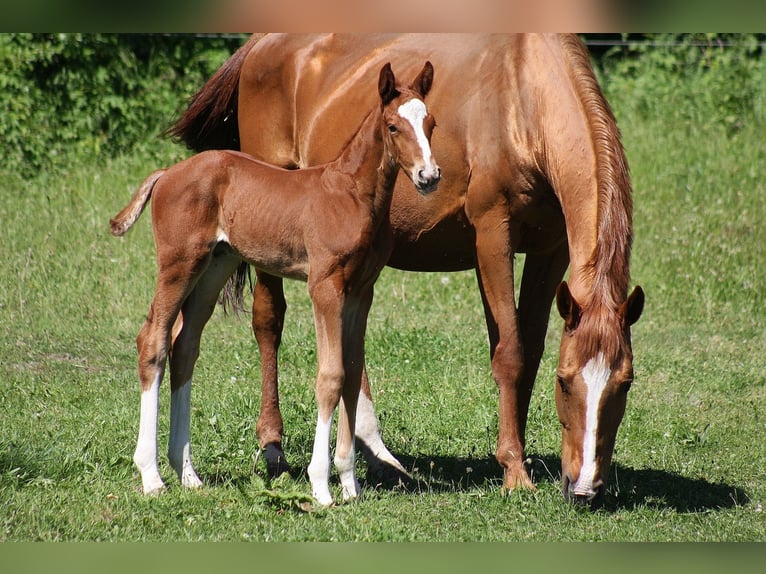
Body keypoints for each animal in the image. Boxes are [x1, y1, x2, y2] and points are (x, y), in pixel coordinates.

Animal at [111, 61, 440, 506]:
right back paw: (151, 475)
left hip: (214, 268)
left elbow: (352, 374)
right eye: (393, 126)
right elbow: (330, 377)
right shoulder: (325, 286)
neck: (352, 194)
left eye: (431, 123)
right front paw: (321, 486)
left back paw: (188, 473)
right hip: (179, 264)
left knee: (184, 348)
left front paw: (349, 483)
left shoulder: (360, 291)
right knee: (153, 341)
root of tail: (166, 174)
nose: (429, 175)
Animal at [168, 34, 644, 506]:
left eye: (625, 384)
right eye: (565, 383)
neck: (521, 97)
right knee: (269, 321)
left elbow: (529, 350)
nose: (584, 489)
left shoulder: (551, 249)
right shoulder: (493, 234)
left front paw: (520, 457)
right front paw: (513, 469)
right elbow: (509, 352)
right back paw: (274, 446)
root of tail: (259, 45)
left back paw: (374, 456)